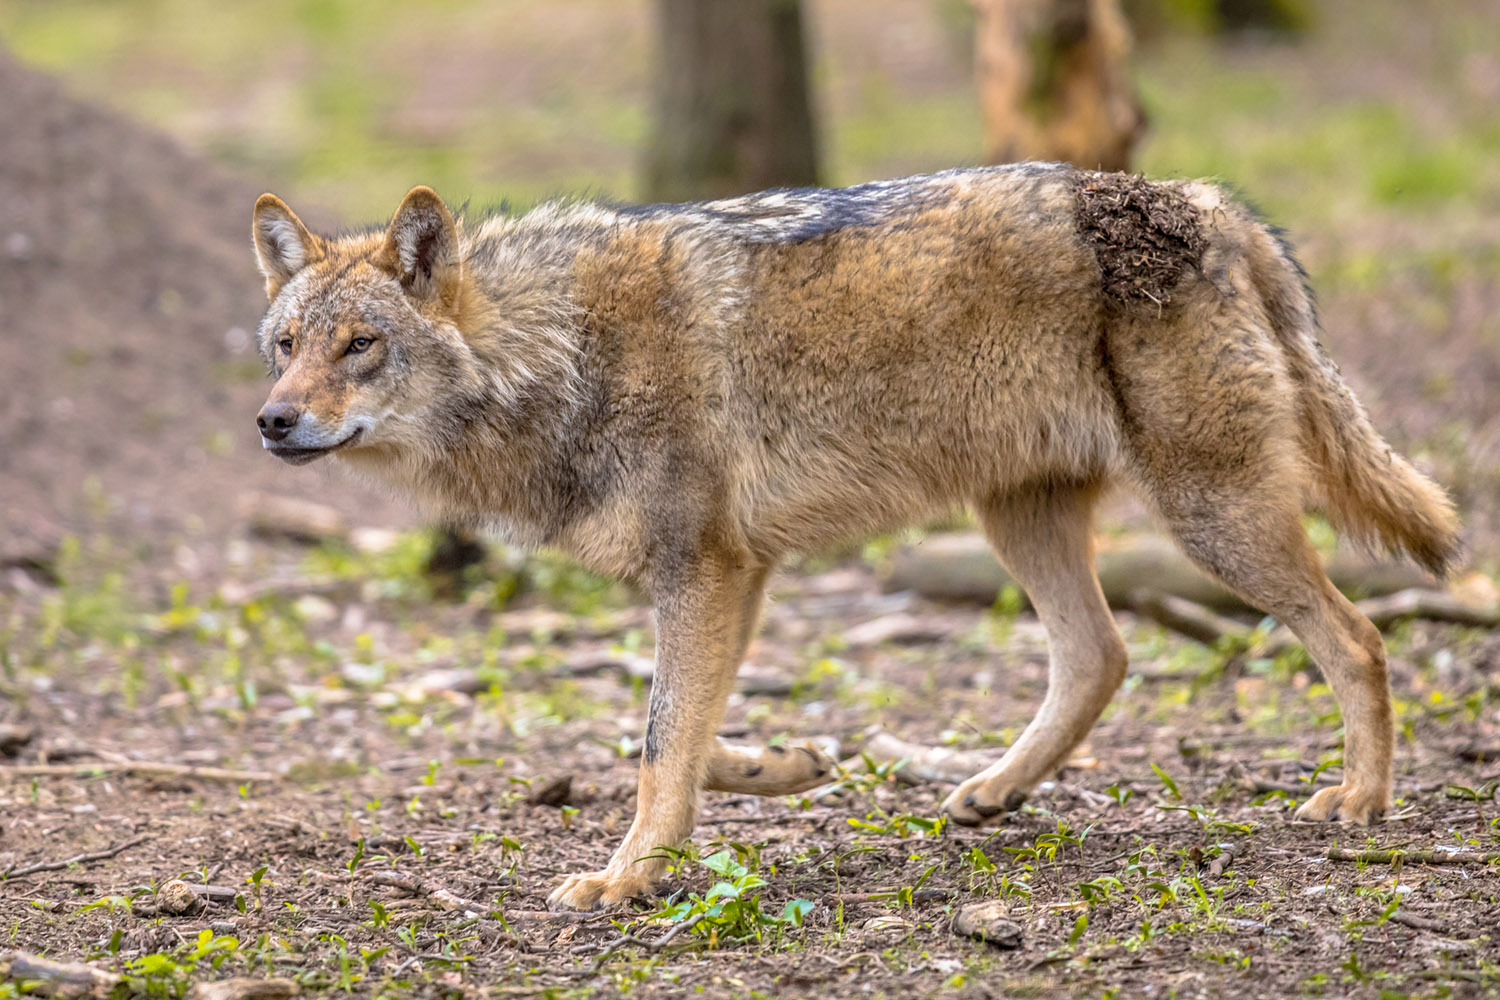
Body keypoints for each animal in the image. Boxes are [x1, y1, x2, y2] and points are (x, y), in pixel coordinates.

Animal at [252, 162, 1458, 905]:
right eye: (284, 345)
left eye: (361, 345)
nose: (272, 421)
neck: (560, 350)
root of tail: (1205, 200)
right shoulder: (735, 574)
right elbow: (681, 733)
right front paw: (780, 767)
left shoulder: (706, 567)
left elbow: (657, 737)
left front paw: (628, 877)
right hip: (1021, 519)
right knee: (1102, 656)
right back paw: (992, 791)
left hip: (1214, 519)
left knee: (1357, 639)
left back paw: (1359, 800)